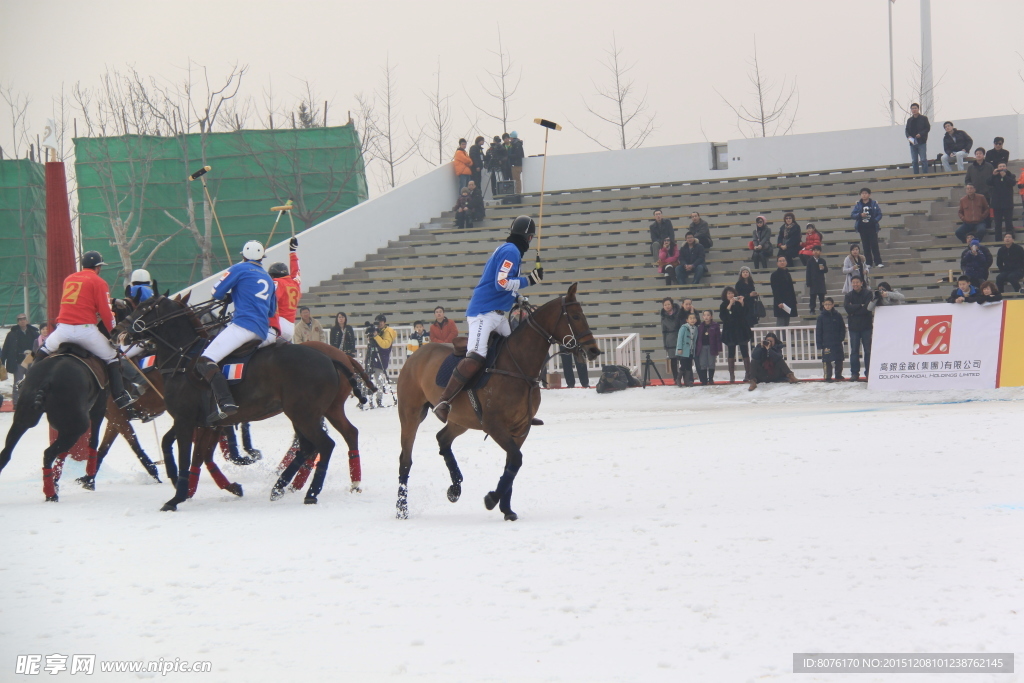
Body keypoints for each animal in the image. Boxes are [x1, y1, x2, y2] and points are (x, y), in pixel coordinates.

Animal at [391, 286, 598, 520]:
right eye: (575, 316)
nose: (594, 351)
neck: (518, 366)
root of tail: (415, 355)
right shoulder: (494, 425)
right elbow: (516, 459)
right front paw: (492, 499)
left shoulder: (521, 428)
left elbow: (512, 464)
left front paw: (506, 508)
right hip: (411, 414)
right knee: (405, 459)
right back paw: (401, 508)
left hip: (461, 419)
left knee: (442, 439)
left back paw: (455, 488)